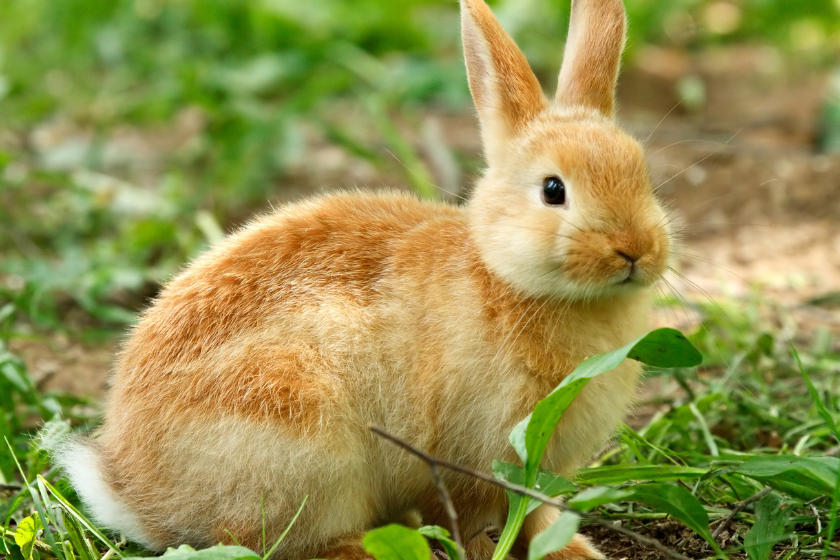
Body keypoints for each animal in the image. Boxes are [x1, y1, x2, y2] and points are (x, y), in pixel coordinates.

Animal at [55, 0, 672, 556]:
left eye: (641, 173)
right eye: (553, 190)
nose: (636, 250)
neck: (506, 276)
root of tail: (135, 495)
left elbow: (540, 522)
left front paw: (576, 552)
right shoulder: (470, 461)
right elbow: (474, 527)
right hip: (299, 437)